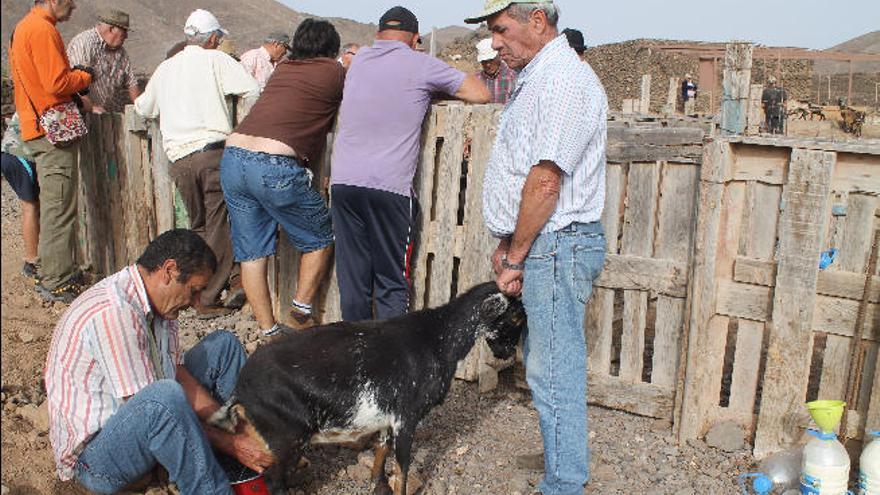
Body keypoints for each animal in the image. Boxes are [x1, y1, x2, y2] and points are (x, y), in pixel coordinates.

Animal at [210, 280, 524, 494]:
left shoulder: (387, 416)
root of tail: (241, 387)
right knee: (273, 479)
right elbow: (403, 466)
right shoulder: (407, 417)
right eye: (517, 317)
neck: (438, 338)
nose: (509, 353)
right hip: (286, 435)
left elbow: (382, 449)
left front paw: (377, 485)